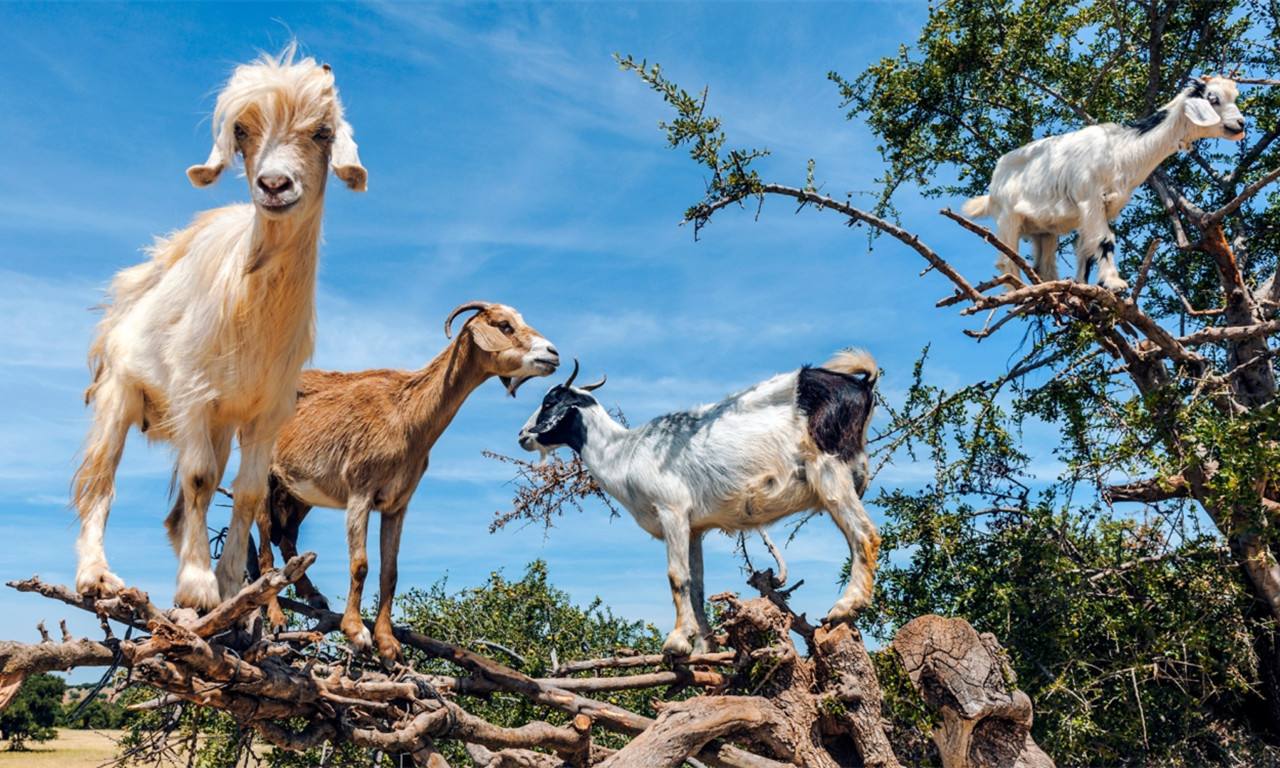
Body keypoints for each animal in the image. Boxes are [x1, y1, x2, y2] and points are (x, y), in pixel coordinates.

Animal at [73, 46, 368, 611]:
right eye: (242, 131)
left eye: (322, 131)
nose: (274, 185)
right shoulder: (193, 393)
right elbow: (200, 477)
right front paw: (196, 586)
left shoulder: (265, 411)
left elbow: (248, 492)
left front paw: (232, 585)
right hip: (120, 392)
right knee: (99, 481)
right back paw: (96, 576)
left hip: (222, 424)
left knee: (177, 510)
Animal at [263, 303, 555, 655]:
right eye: (504, 325)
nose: (552, 354)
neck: (406, 413)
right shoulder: (360, 491)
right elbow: (360, 564)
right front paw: (356, 631)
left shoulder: (397, 503)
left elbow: (390, 572)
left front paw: (387, 643)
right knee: (263, 546)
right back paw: (276, 617)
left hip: (297, 492)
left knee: (285, 536)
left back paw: (313, 596)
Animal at [514, 350, 875, 655]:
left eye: (550, 401)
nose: (522, 436)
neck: (624, 452)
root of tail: (861, 385)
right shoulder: (694, 527)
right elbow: (696, 584)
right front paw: (703, 647)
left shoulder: (670, 510)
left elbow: (677, 577)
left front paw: (676, 642)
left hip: (830, 469)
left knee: (865, 534)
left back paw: (845, 607)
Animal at [962, 75, 1244, 290]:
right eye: (1213, 99)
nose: (1241, 124)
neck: (1119, 150)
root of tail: (993, 186)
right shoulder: (1090, 198)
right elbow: (1104, 240)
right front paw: (1114, 283)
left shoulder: (1105, 207)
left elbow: (1087, 249)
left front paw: (1085, 286)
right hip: (1007, 218)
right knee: (1006, 260)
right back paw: (1020, 292)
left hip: (1044, 230)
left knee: (1043, 263)